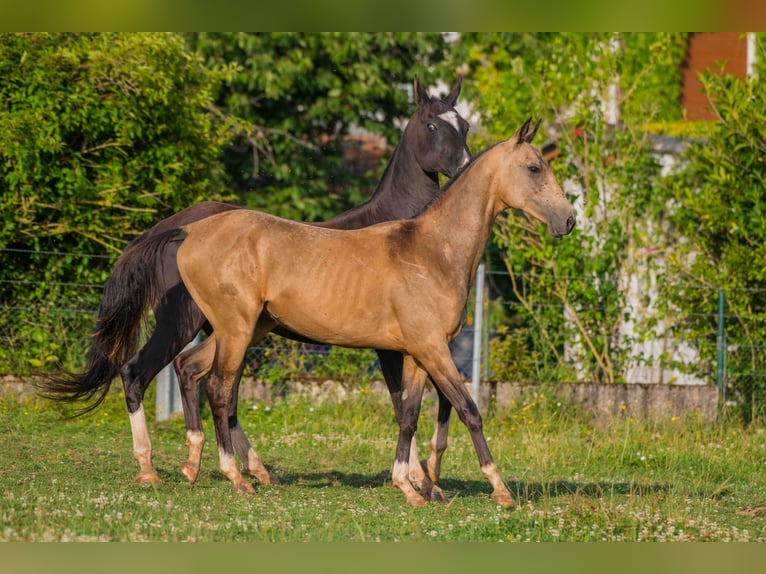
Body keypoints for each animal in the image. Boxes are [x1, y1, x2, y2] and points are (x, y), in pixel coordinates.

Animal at [40, 76, 474, 500]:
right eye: (432, 125)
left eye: (465, 125)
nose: (465, 168)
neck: (406, 235)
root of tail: (173, 228)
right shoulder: (392, 345)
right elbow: (404, 402)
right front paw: (419, 479)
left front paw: (425, 478)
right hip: (182, 323)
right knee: (141, 373)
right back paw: (152, 467)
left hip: (229, 329)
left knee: (202, 379)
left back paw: (235, 467)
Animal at [97, 118, 576, 508]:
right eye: (534, 168)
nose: (569, 221)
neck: (432, 252)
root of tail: (190, 229)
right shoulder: (433, 349)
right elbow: (466, 408)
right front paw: (499, 489)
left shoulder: (416, 354)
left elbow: (408, 415)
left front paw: (409, 487)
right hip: (230, 330)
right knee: (211, 387)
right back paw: (227, 476)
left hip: (242, 329)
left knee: (190, 369)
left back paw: (194, 466)